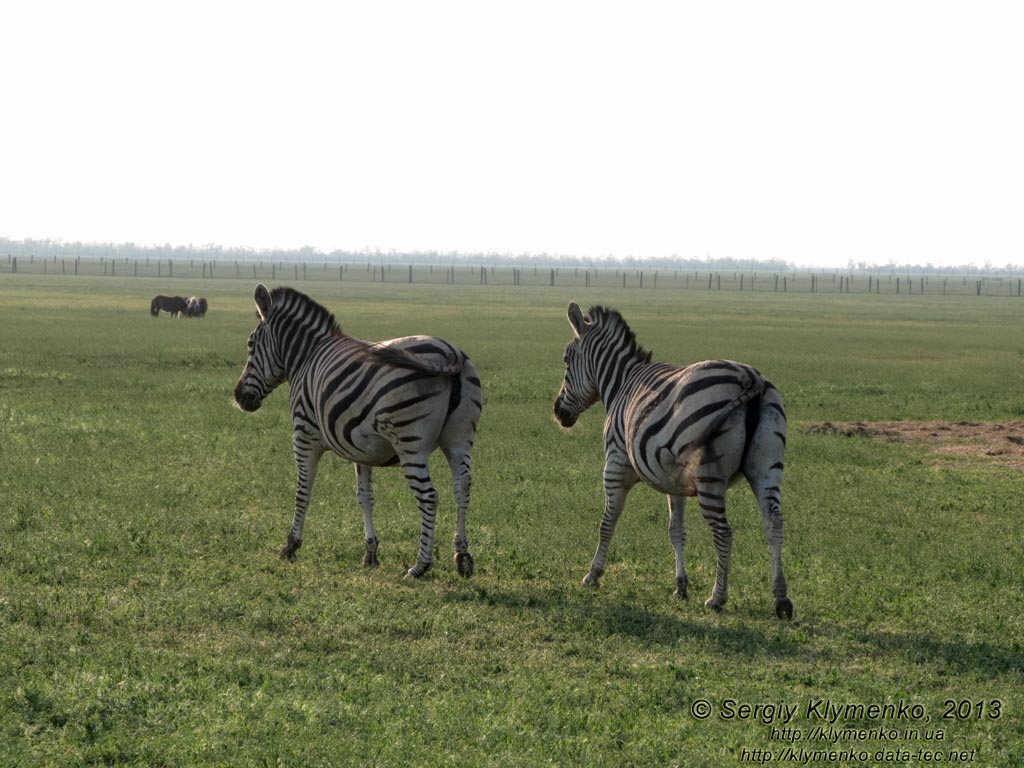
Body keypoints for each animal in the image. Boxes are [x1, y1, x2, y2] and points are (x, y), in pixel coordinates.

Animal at [234, 286, 481, 581]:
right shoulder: (362, 449)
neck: (305, 356)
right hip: (460, 438)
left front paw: (291, 545)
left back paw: (420, 565)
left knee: (429, 497)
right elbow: (365, 497)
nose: (239, 398)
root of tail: (449, 352)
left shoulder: (304, 434)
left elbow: (303, 490)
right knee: (462, 486)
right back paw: (462, 556)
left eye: (250, 344)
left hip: (411, 443)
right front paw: (370, 553)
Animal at [552, 301, 790, 618]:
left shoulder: (615, 464)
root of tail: (750, 378)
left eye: (567, 360)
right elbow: (676, 531)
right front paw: (681, 586)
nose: (557, 411)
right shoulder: (675, 480)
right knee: (773, 523)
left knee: (724, 532)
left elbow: (607, 522)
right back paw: (781, 599)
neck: (621, 382)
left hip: (709, 476)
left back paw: (717, 598)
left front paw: (593, 575)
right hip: (767, 468)